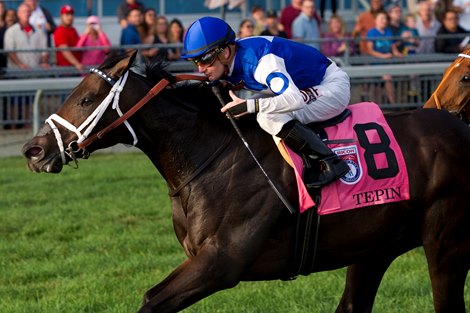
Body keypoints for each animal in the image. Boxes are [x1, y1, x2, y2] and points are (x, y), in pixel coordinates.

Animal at [22, 52, 470, 310]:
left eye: (85, 99)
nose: (33, 150)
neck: (208, 154)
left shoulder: (221, 263)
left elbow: (150, 301)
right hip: (373, 245)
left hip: (445, 244)